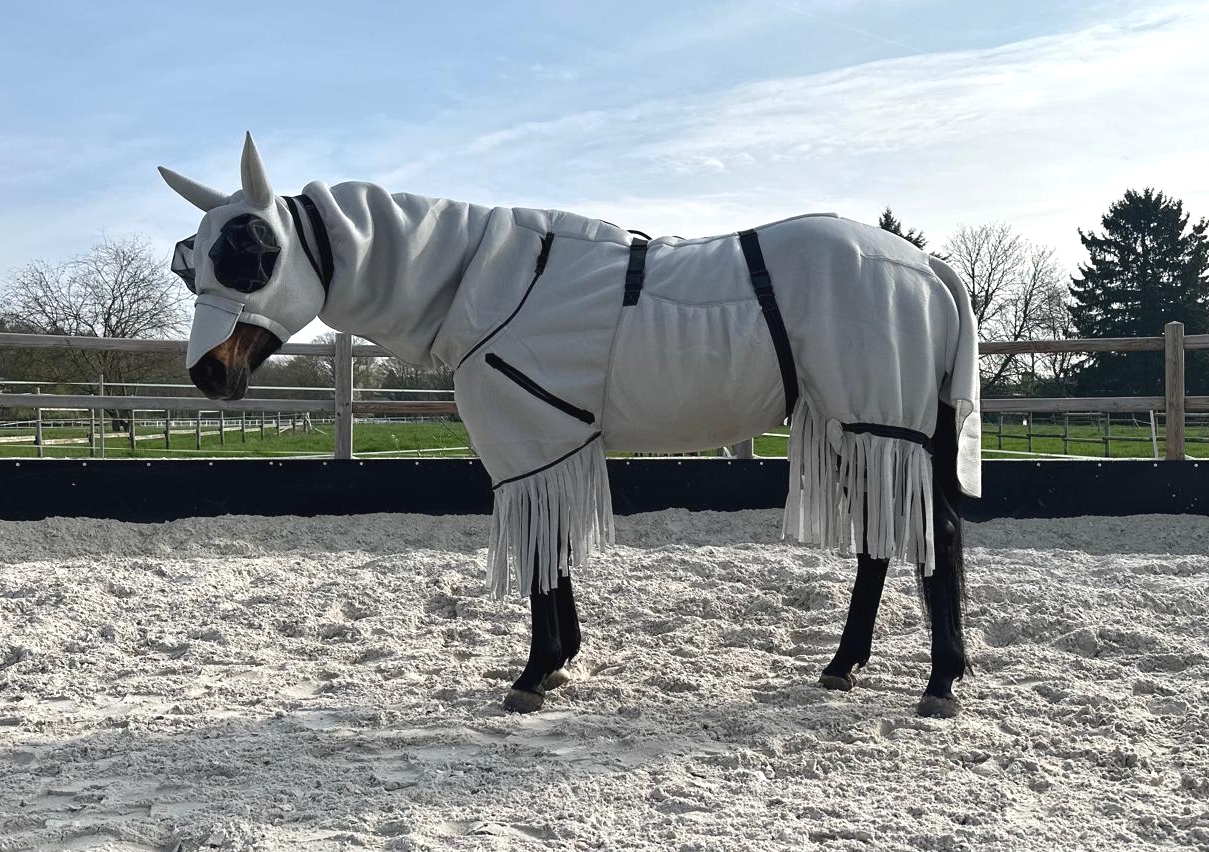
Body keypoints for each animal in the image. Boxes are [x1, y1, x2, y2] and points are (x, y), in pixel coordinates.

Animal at [162, 134, 981, 718]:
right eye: (190, 261)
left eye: (253, 255)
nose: (208, 374)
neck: (477, 280)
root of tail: (927, 267)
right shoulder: (544, 448)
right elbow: (551, 556)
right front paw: (556, 665)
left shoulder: (529, 443)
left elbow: (537, 557)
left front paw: (533, 673)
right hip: (857, 430)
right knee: (883, 541)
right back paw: (843, 667)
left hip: (877, 424)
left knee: (933, 533)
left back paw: (939, 683)